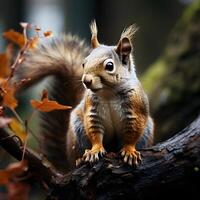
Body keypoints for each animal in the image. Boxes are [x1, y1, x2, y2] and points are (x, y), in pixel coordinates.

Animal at [14, 20, 154, 172]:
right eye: (84, 63)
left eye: (109, 66)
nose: (86, 80)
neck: (108, 92)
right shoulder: (92, 111)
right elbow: (95, 132)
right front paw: (95, 150)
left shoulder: (135, 108)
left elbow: (131, 134)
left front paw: (129, 151)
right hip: (78, 131)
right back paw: (80, 160)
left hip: (146, 132)